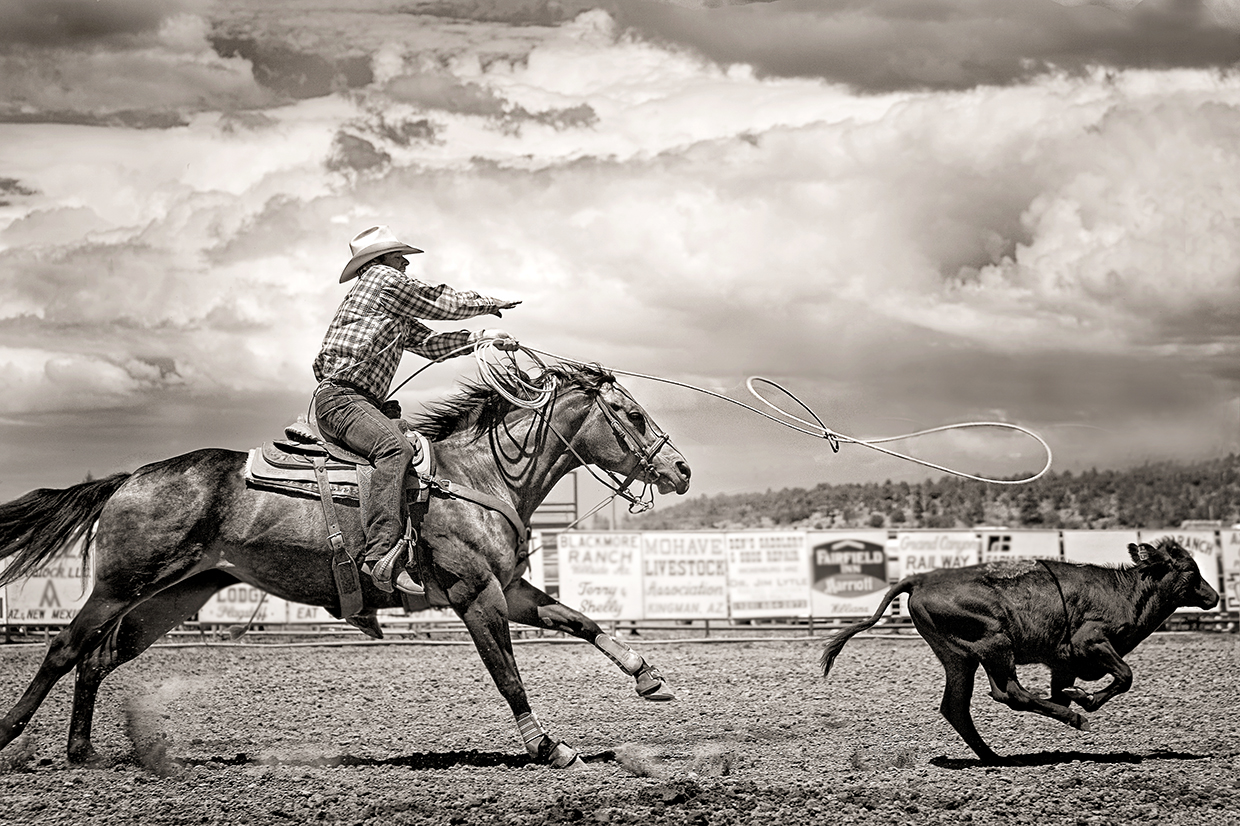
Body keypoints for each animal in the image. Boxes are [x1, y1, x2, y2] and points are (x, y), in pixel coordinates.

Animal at [820, 537, 1220, 763]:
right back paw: (1072, 719)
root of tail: (919, 579)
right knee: (1010, 692)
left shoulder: (1062, 663)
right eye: (1190, 569)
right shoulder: (1089, 641)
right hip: (994, 643)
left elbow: (1063, 689)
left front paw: (1076, 696)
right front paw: (1085, 702)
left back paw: (992, 757)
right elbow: (1124, 675)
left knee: (956, 707)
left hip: (958, 658)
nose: (1214, 596)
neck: (1125, 593)